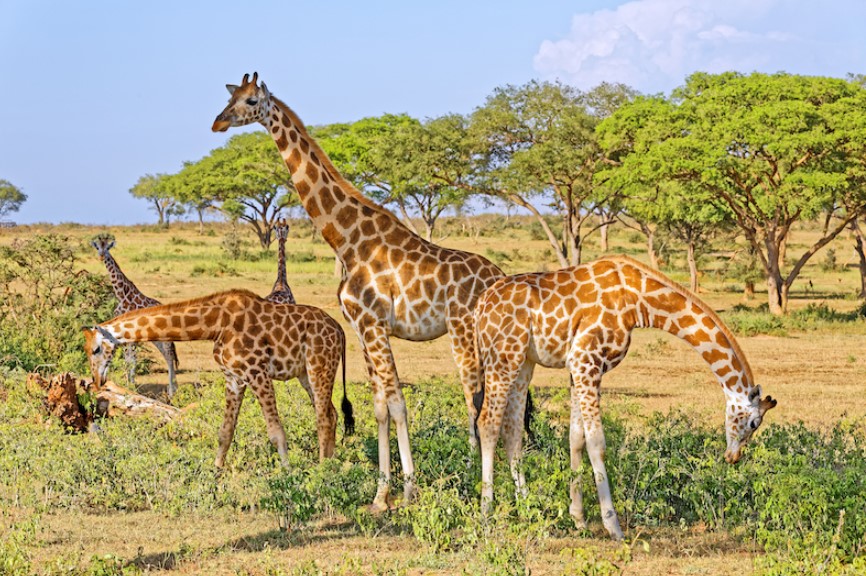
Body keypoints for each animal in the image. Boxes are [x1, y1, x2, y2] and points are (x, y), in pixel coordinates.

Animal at [81, 288, 352, 464]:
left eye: (96, 349)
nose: (97, 381)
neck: (214, 324)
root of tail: (340, 330)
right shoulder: (234, 377)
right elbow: (225, 432)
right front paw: (216, 476)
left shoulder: (257, 372)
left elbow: (275, 432)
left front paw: (287, 475)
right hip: (305, 374)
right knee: (331, 413)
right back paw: (331, 464)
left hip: (320, 365)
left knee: (323, 417)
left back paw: (323, 470)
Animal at [91, 232, 179, 398]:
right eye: (97, 247)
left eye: (108, 247)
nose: (101, 256)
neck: (122, 295)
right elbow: (129, 360)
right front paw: (128, 385)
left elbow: (131, 361)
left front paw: (130, 386)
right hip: (156, 338)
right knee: (167, 356)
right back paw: (173, 390)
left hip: (164, 336)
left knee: (170, 357)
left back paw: (172, 392)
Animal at [212, 72, 502, 508]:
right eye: (229, 97)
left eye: (249, 101)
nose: (218, 122)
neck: (349, 242)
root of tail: (499, 276)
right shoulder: (363, 329)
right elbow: (380, 407)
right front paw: (382, 494)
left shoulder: (376, 326)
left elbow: (397, 404)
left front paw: (409, 489)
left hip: (464, 336)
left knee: (477, 400)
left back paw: (474, 479)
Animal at [472, 256, 776, 540]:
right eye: (753, 423)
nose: (733, 457)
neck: (639, 301)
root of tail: (479, 308)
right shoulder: (586, 359)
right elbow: (597, 442)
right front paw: (613, 526)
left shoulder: (578, 367)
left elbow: (576, 438)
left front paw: (578, 518)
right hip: (503, 357)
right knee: (488, 423)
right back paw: (486, 514)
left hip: (523, 362)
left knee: (512, 430)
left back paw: (527, 507)